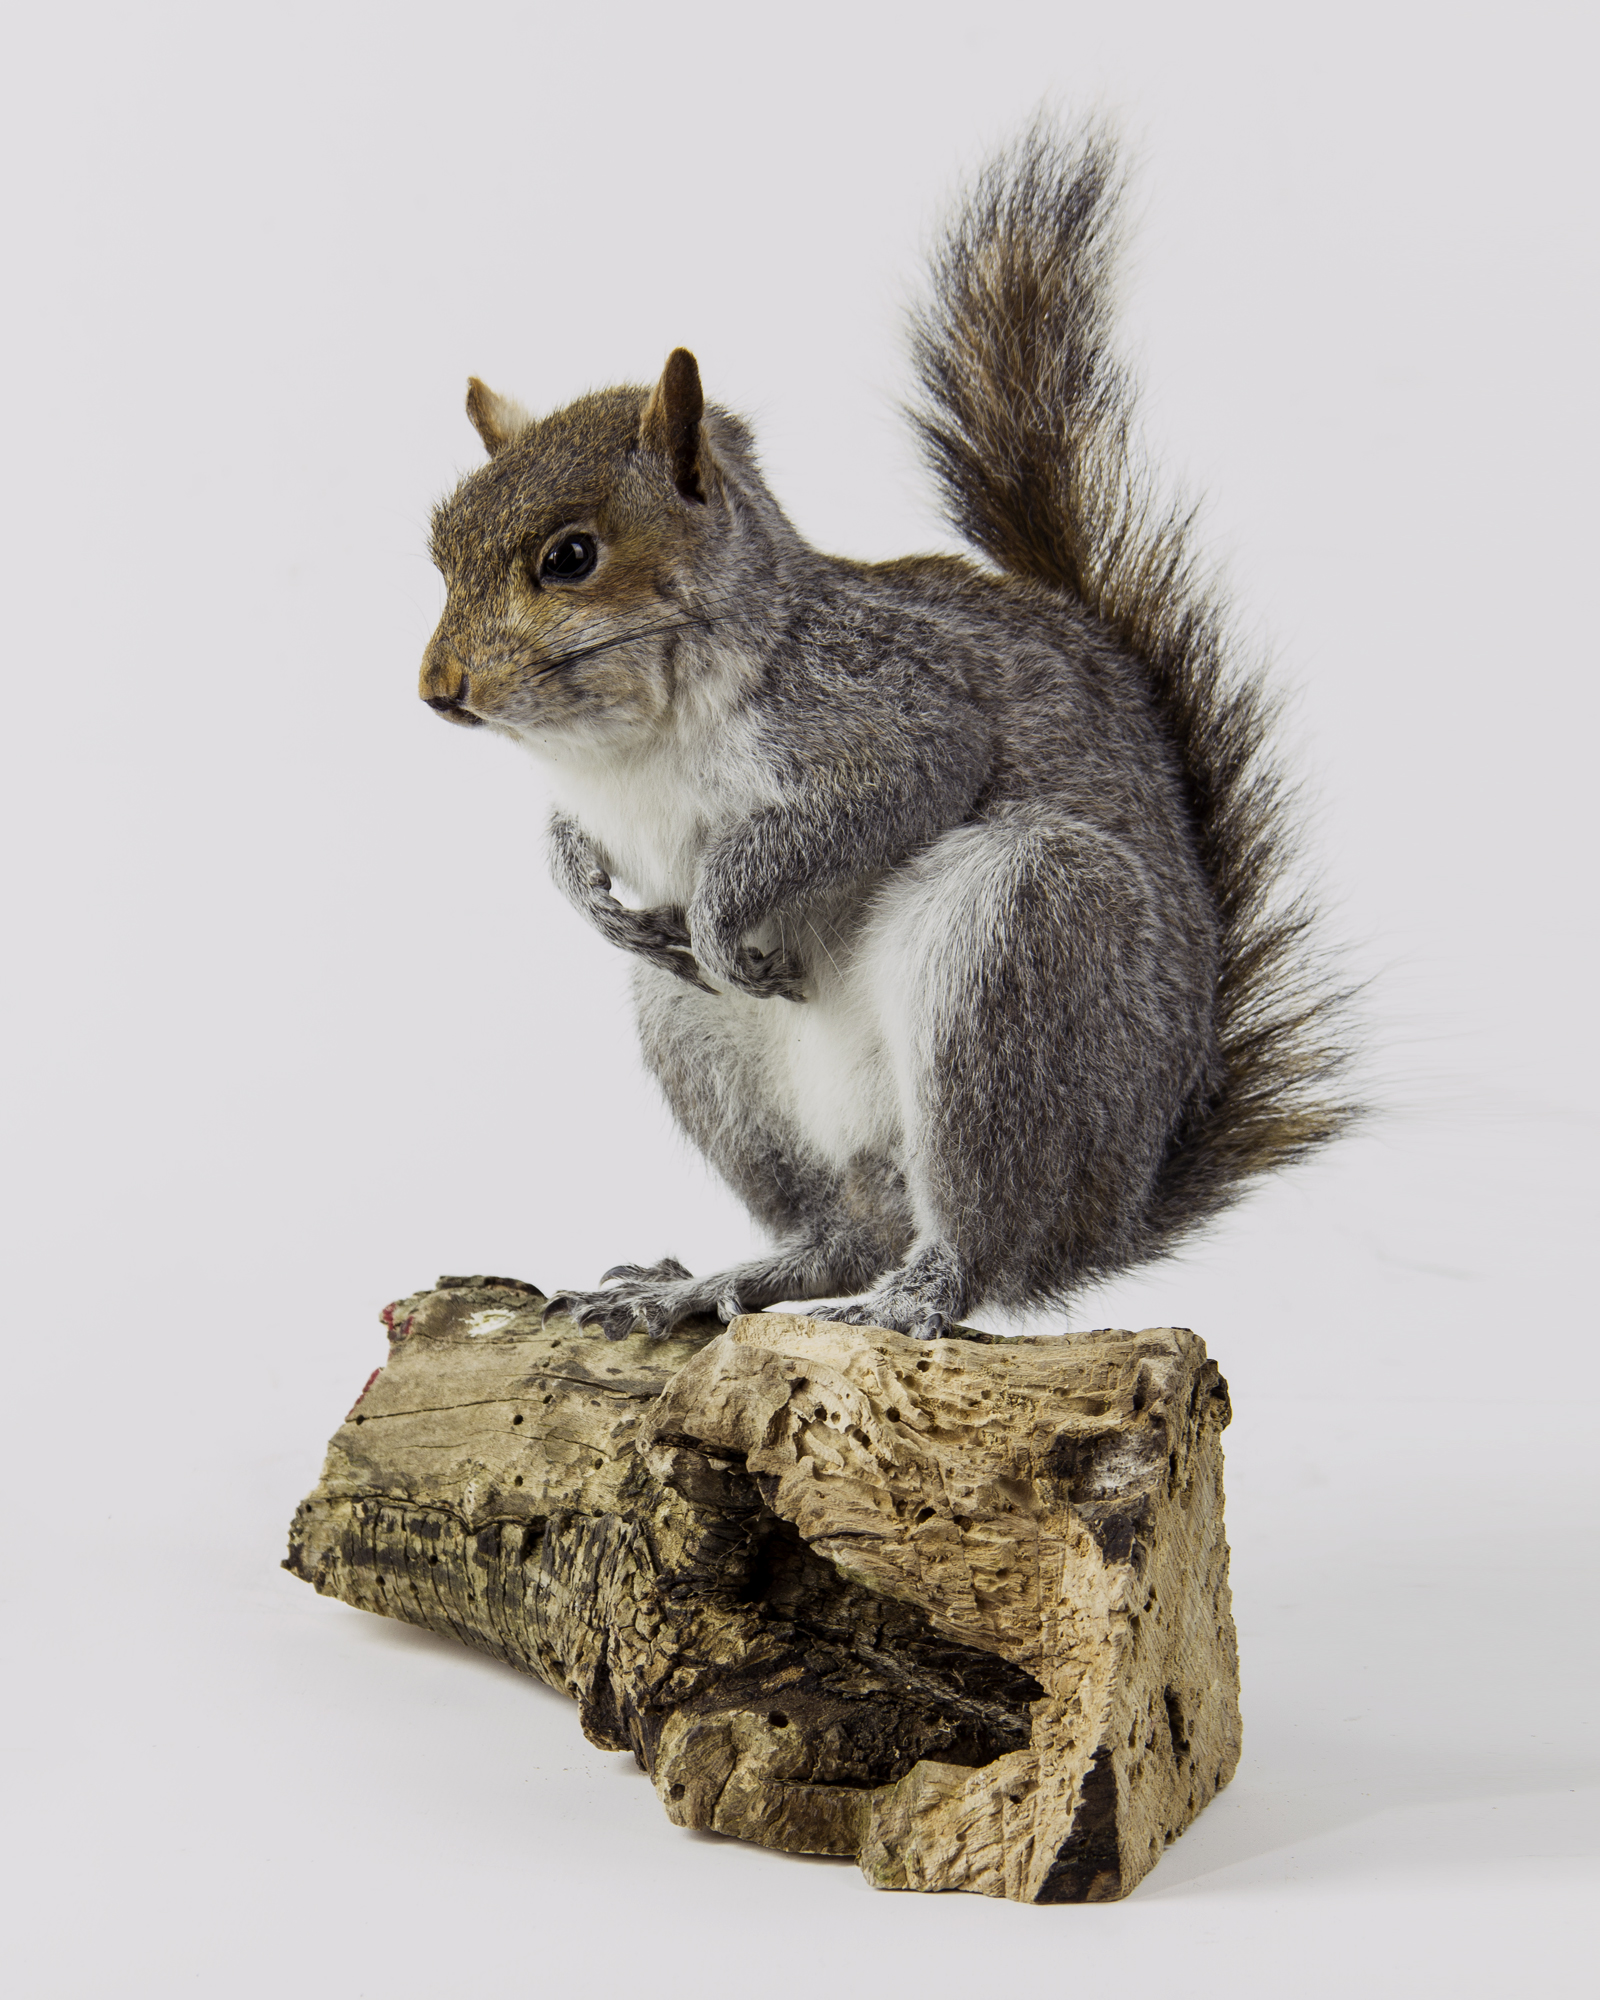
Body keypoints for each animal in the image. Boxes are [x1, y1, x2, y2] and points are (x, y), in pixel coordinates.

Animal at [418, 121, 1355, 1341]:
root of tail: (1116, 1213)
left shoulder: (889, 718)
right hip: (706, 1041)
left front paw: (720, 912)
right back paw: (707, 1284)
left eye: (570, 556)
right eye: (438, 545)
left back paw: (916, 1293)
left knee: (977, 1237)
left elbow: (877, 796)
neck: (626, 743)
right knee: (838, 1231)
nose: (436, 689)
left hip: (1023, 945)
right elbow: (565, 845)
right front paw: (585, 891)